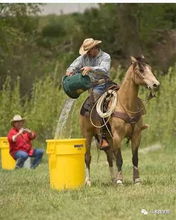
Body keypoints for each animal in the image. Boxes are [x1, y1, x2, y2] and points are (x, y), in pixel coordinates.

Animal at [80, 55, 160, 185]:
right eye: (141, 70)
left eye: (150, 68)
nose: (156, 84)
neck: (126, 105)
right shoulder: (117, 136)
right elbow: (119, 159)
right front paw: (120, 181)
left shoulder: (136, 135)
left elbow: (134, 158)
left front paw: (137, 180)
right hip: (87, 134)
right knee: (88, 157)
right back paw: (88, 181)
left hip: (107, 138)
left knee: (109, 157)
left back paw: (112, 179)